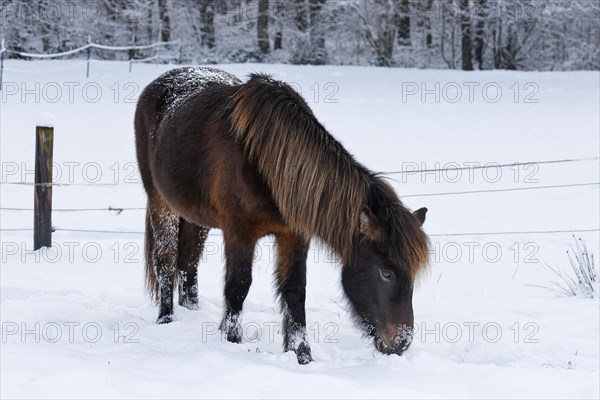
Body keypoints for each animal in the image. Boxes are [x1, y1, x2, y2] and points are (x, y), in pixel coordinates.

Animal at [134, 67, 428, 364]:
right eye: (386, 273)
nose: (400, 343)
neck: (268, 164)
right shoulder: (238, 232)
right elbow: (238, 286)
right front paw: (231, 341)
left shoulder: (294, 235)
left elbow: (295, 291)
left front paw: (302, 356)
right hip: (161, 204)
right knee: (166, 262)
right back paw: (166, 319)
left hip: (195, 217)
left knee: (189, 262)